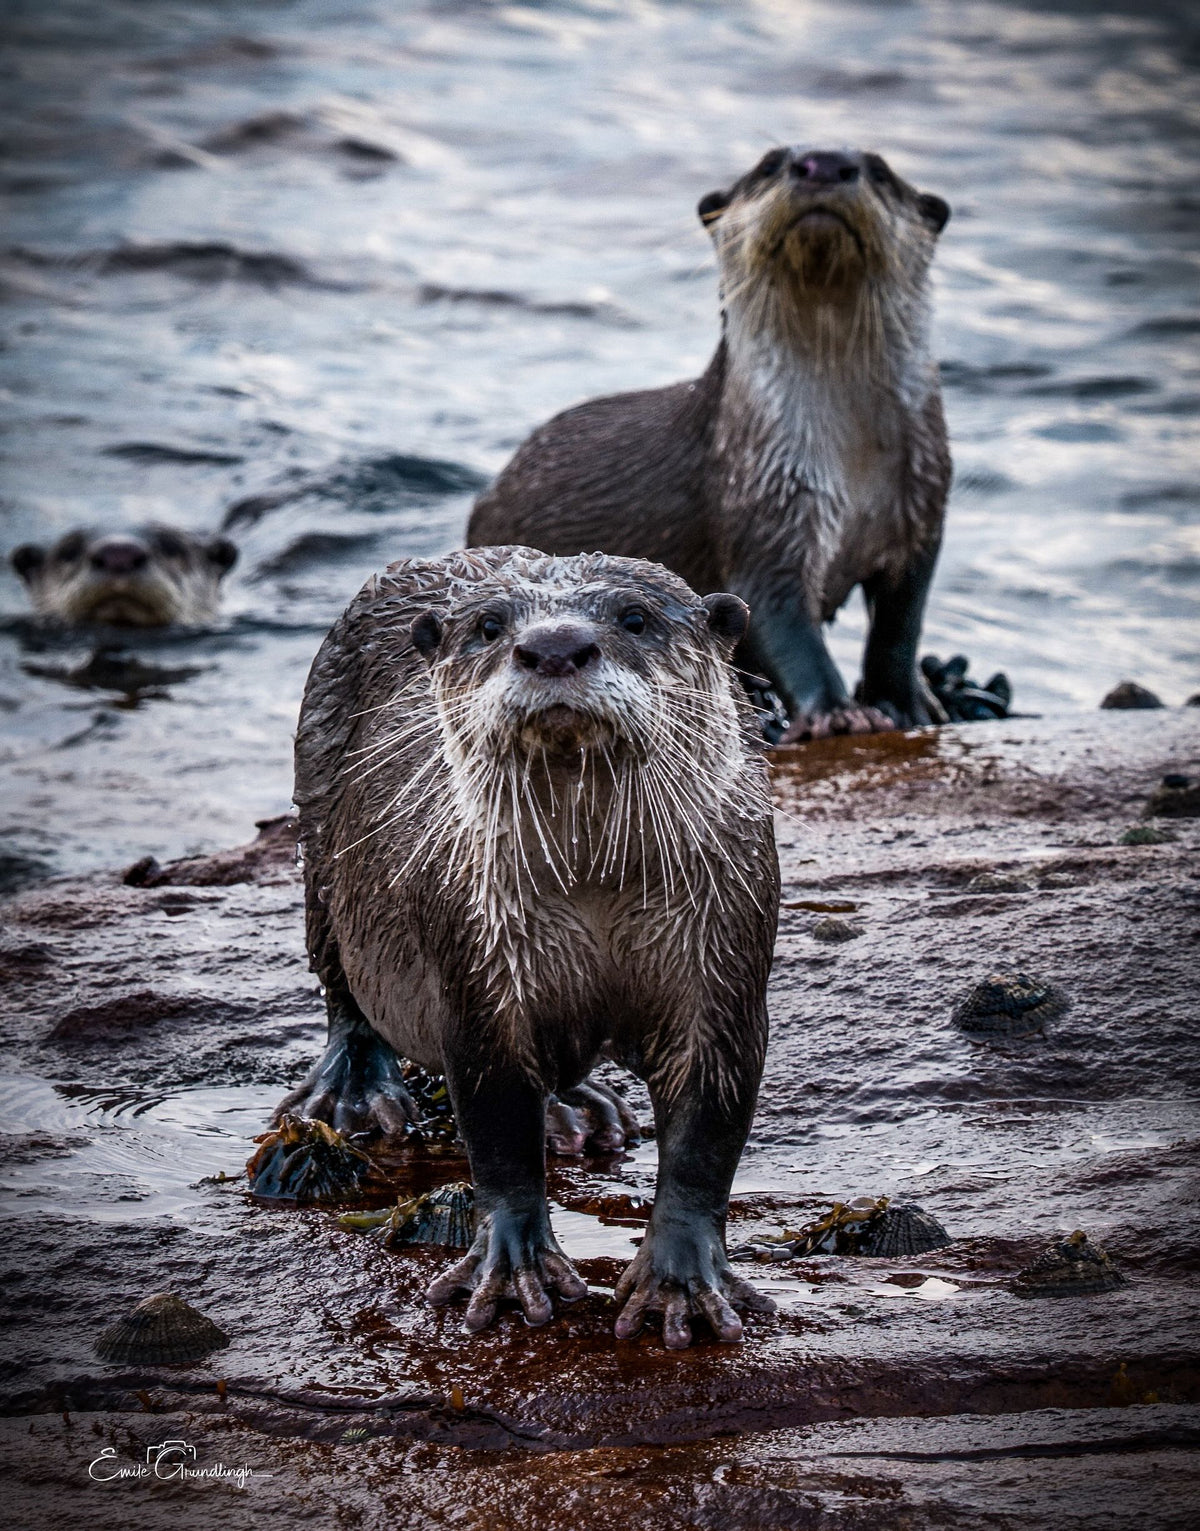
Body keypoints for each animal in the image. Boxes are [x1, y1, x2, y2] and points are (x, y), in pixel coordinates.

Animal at [286, 546, 778, 1344]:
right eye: (489, 627)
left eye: (634, 617)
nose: (553, 646)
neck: (592, 883)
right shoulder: (476, 963)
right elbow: (494, 1121)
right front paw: (515, 1267)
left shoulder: (725, 958)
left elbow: (708, 1133)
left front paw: (678, 1280)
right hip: (320, 824)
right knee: (342, 986)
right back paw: (354, 1092)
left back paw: (579, 1109)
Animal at [469, 146, 952, 741]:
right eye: (770, 165)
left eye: (879, 170)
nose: (822, 162)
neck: (853, 459)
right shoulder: (763, 508)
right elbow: (782, 622)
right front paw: (837, 713)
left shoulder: (924, 505)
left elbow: (900, 624)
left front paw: (907, 703)